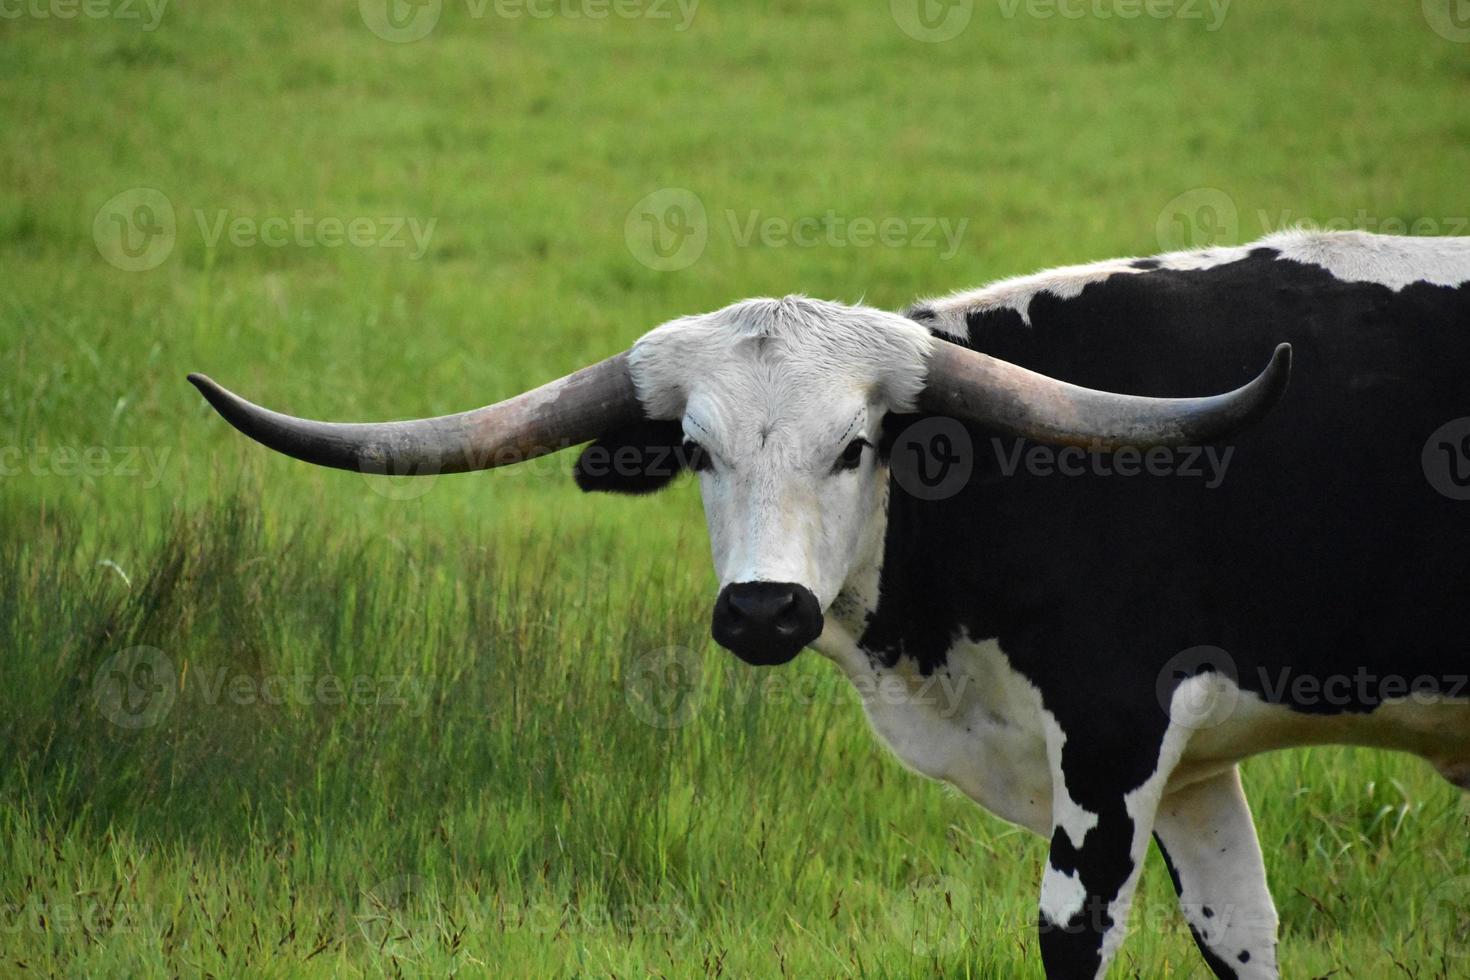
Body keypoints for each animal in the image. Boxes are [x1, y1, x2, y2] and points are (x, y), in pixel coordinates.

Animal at [189, 227, 1464, 975]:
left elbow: (1071, 932)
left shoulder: (1111, 741)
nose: (763, 611)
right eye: (694, 450)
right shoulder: (1196, 766)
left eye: (857, 447)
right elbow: (1241, 930)